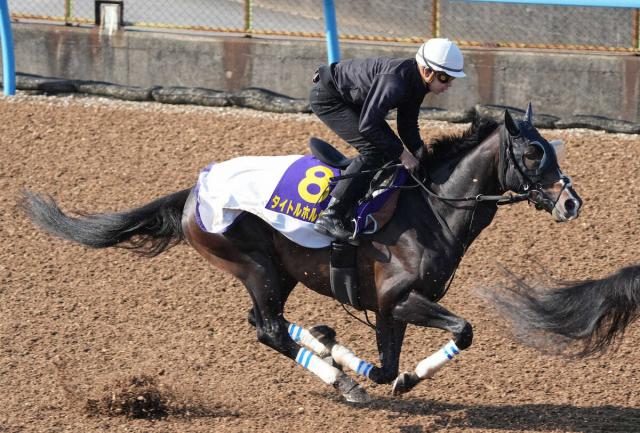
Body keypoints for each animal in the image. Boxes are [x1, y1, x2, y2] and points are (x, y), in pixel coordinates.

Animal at [23, 104, 592, 402]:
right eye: (532, 153)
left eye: (553, 149)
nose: (571, 202)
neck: (431, 209)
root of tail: (194, 189)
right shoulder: (400, 299)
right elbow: (463, 330)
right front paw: (387, 376)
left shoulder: (389, 307)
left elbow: (385, 365)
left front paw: (373, 363)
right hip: (253, 264)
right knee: (269, 328)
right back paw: (339, 381)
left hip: (279, 271)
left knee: (262, 322)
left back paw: (324, 344)